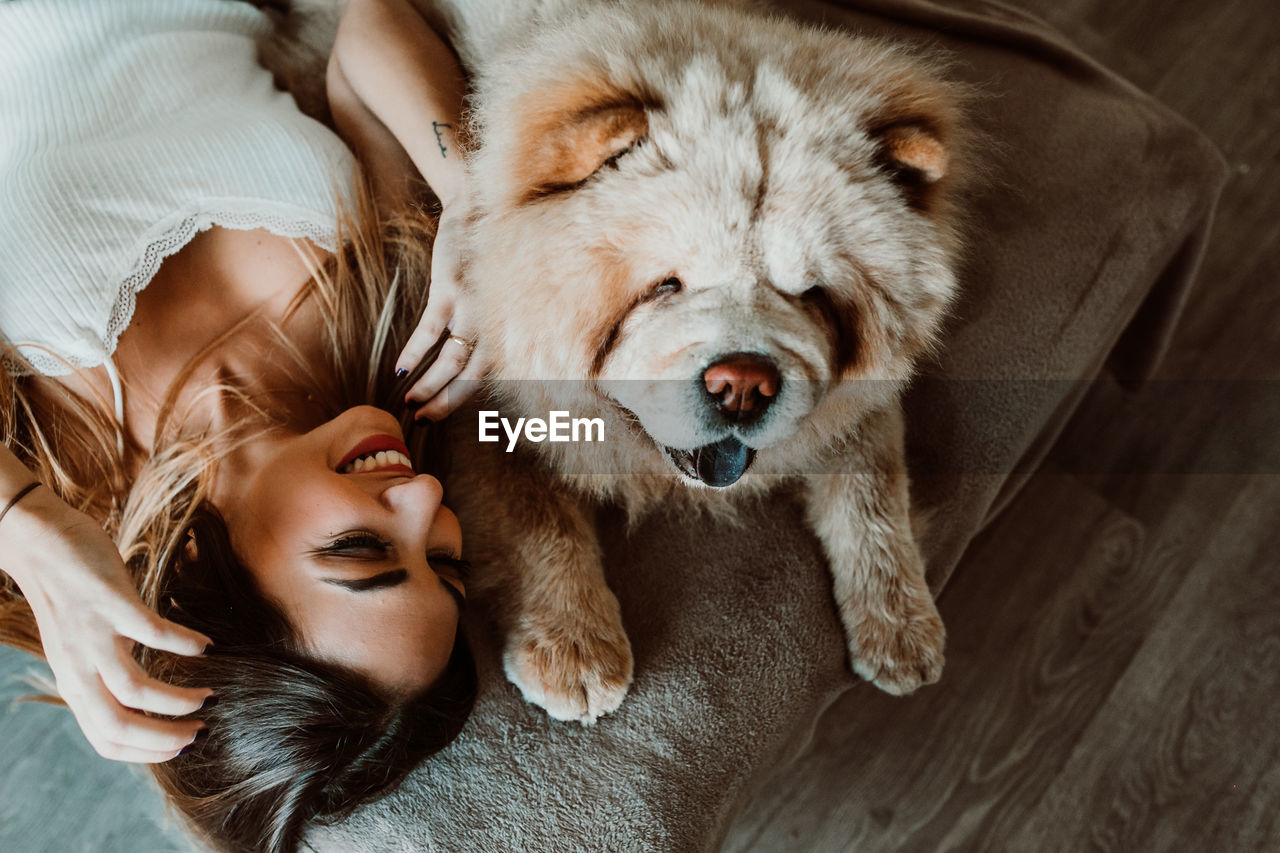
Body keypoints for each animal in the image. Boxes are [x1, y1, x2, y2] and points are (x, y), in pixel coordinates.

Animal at [264, 0, 962, 717]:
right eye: (665, 286)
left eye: (813, 295)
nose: (743, 383)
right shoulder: (474, 404)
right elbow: (535, 520)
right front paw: (573, 651)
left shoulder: (857, 407)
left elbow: (873, 493)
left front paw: (902, 630)